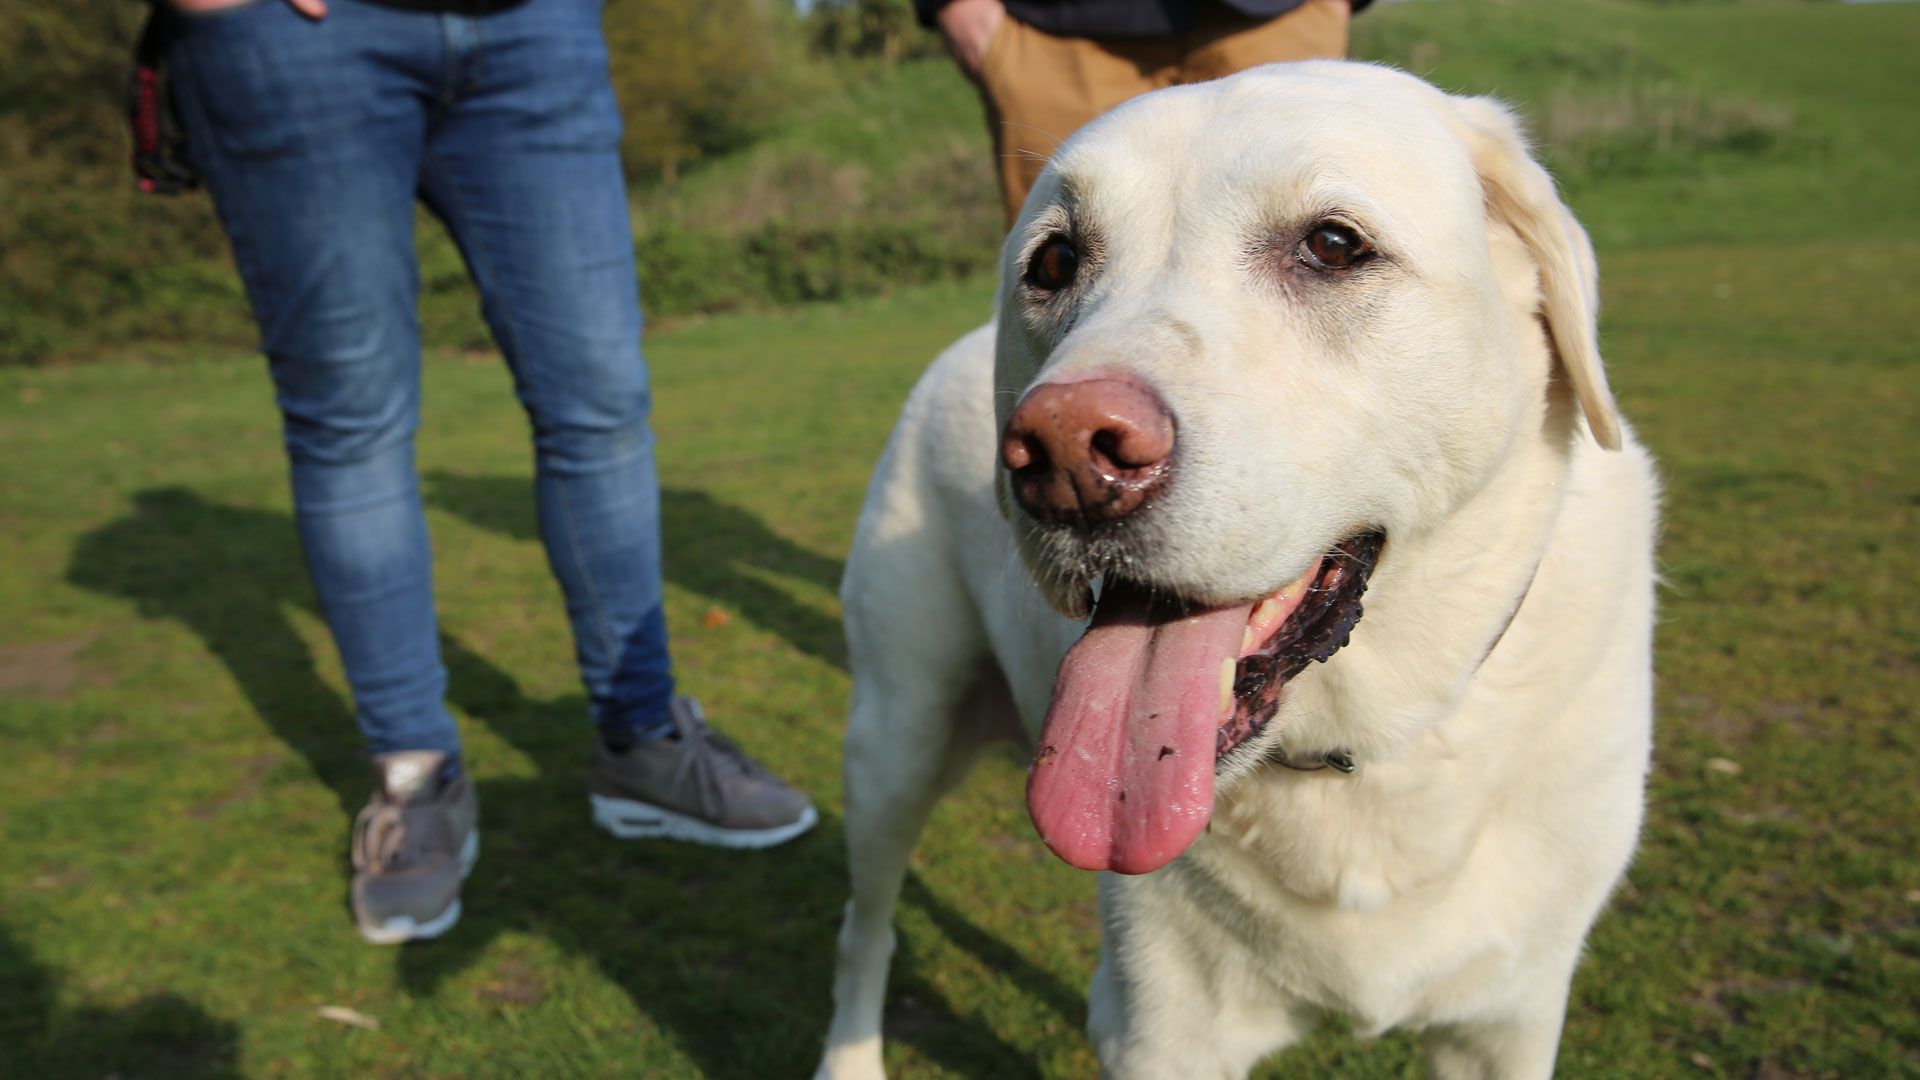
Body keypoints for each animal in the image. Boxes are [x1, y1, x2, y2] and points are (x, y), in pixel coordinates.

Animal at [817, 61, 1658, 1076]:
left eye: (1333, 244)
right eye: (1053, 263)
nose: (1063, 455)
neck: (1357, 756)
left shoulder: (1505, 1022)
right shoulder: (1162, 1029)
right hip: (896, 740)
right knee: (865, 926)